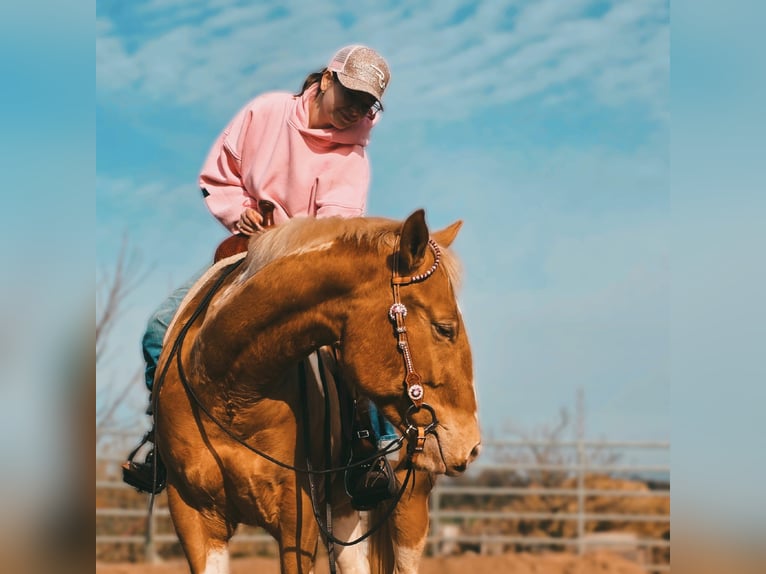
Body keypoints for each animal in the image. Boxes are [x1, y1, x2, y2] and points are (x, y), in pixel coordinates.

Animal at [153, 209, 481, 574]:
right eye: (445, 328)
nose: (471, 445)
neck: (230, 392)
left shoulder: (299, 519)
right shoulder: (194, 517)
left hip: (408, 506)